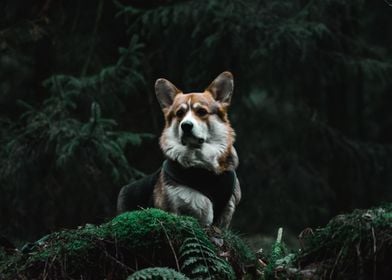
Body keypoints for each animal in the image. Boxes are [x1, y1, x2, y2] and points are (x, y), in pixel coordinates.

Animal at [116, 71, 240, 228]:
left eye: (201, 112)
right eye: (180, 113)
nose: (186, 125)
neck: (200, 165)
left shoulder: (226, 213)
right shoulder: (174, 209)